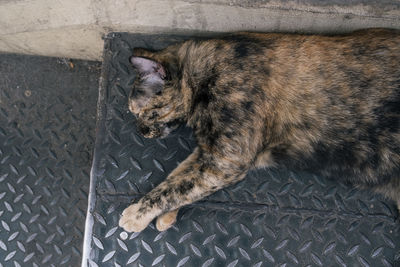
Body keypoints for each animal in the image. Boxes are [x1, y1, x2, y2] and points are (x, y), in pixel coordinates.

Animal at [119, 27, 400, 232]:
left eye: (140, 112)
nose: (141, 131)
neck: (204, 74)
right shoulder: (210, 152)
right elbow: (178, 175)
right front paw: (165, 216)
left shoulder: (227, 159)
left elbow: (178, 187)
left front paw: (137, 214)